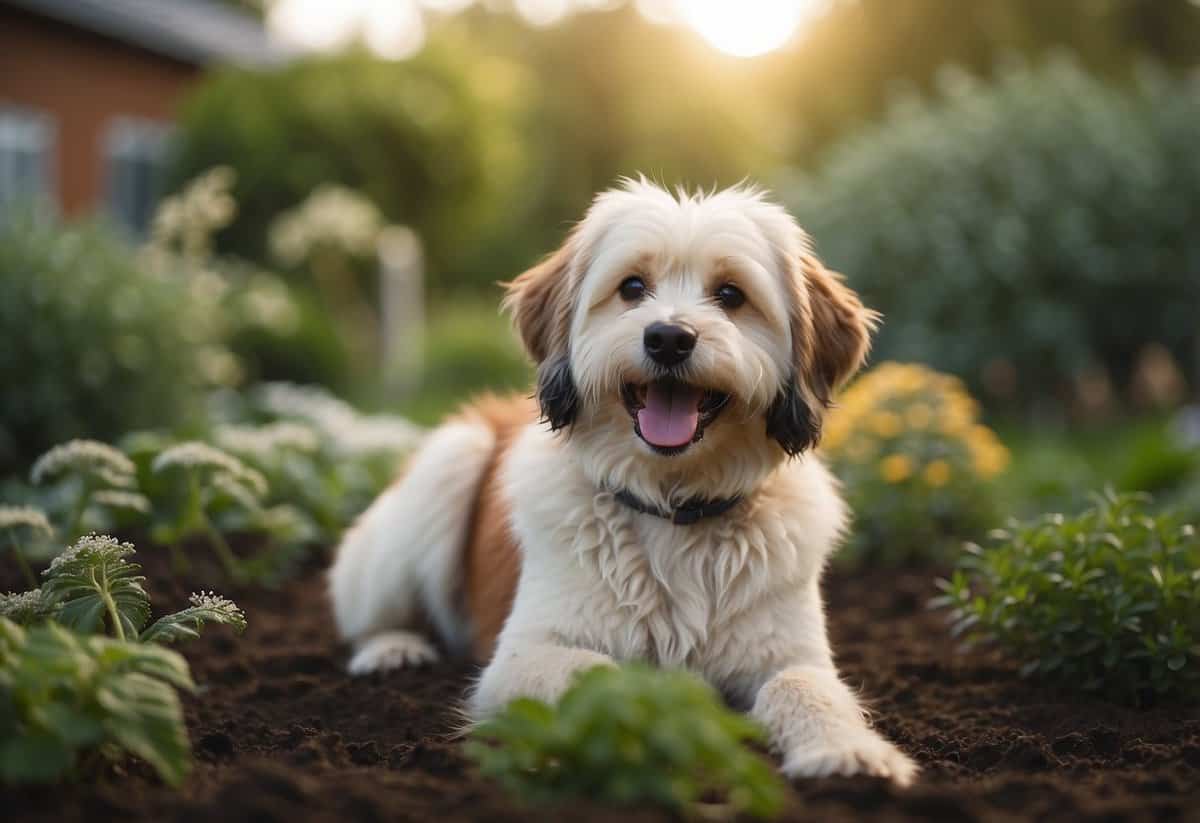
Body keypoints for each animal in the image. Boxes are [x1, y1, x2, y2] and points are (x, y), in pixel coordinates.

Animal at [328, 178, 916, 787]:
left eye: (731, 295)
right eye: (632, 287)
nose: (669, 338)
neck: (673, 506)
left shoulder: (792, 655)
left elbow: (804, 687)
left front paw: (847, 750)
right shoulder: (520, 657)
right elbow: (604, 674)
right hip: (444, 469)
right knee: (371, 618)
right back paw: (391, 650)